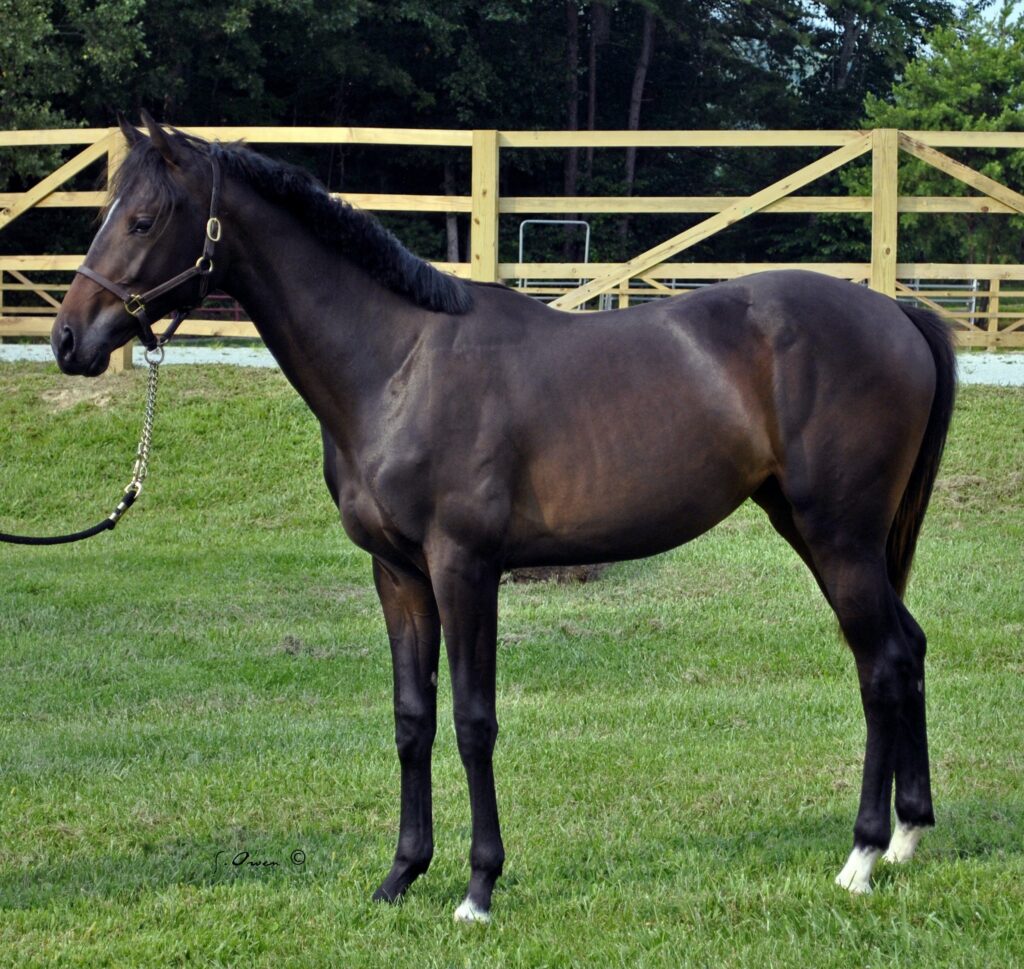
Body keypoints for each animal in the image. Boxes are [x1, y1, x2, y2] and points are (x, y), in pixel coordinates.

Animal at [52, 113, 956, 923]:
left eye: (142, 219)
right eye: (104, 213)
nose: (68, 340)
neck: (397, 363)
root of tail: (897, 313)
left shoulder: (465, 567)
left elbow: (472, 720)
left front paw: (478, 888)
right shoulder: (398, 574)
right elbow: (412, 719)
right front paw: (400, 874)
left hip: (838, 537)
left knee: (880, 664)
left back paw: (862, 855)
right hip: (818, 531)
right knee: (906, 648)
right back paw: (908, 836)